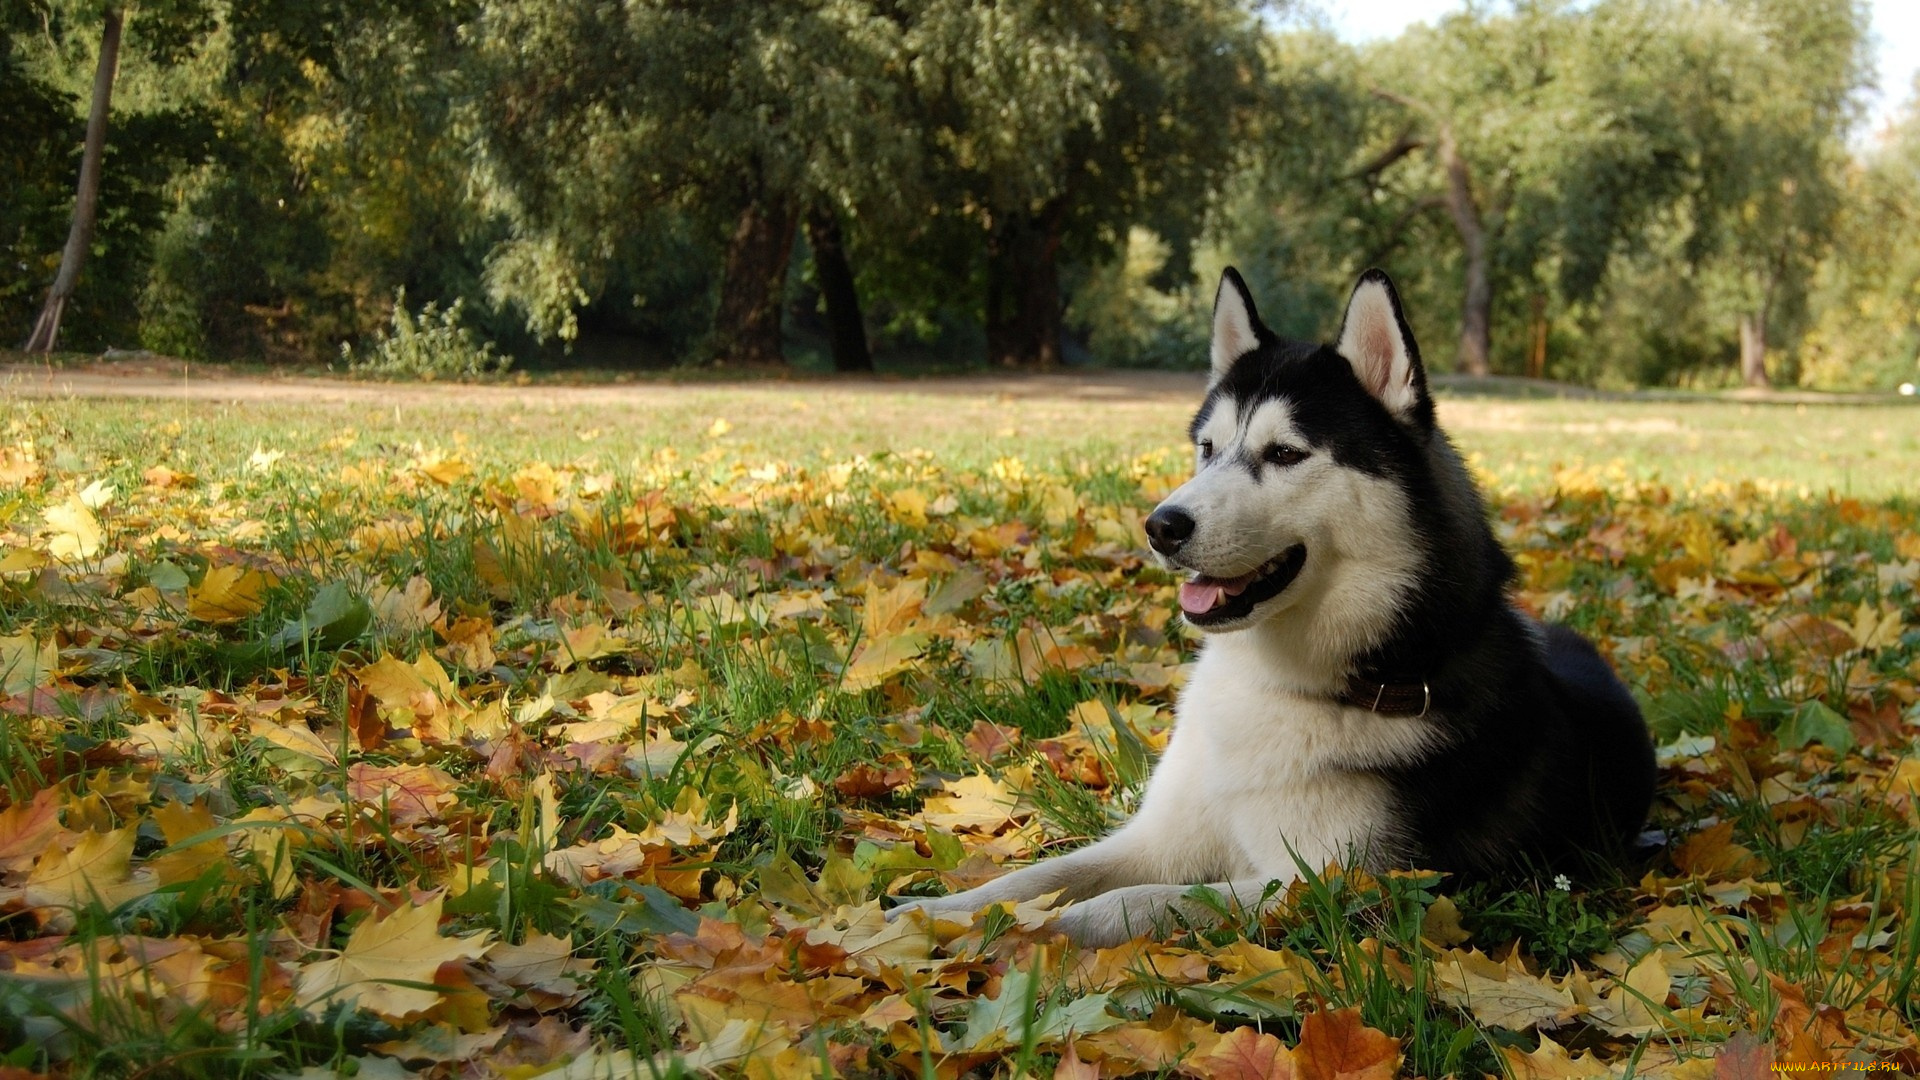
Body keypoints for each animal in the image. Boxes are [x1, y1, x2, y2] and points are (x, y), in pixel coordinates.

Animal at [890, 267, 1658, 941]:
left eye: (1286, 453)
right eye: (1206, 448)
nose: (1160, 526)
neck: (1284, 684)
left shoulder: (1339, 883)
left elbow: (1150, 900)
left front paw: (1055, 929)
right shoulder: (1162, 836)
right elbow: (1036, 877)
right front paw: (933, 913)